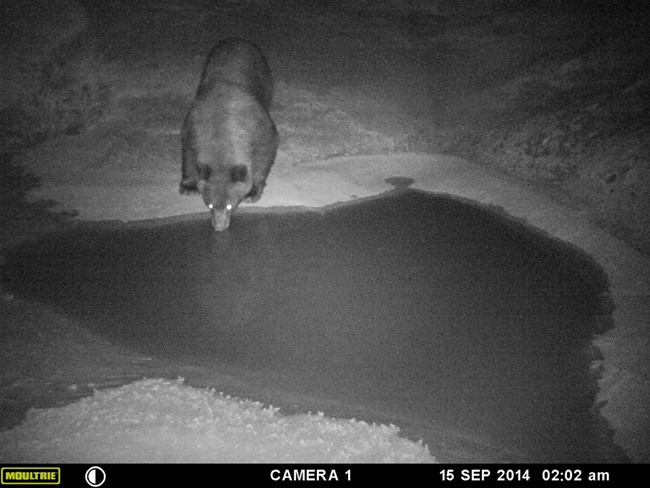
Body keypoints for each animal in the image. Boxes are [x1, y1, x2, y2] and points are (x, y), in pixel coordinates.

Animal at [178, 37, 278, 232]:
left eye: (230, 205)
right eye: (209, 205)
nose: (219, 227)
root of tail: (238, 39)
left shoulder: (256, 125)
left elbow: (267, 148)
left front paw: (253, 192)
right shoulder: (193, 125)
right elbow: (188, 153)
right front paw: (188, 186)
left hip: (264, 77)